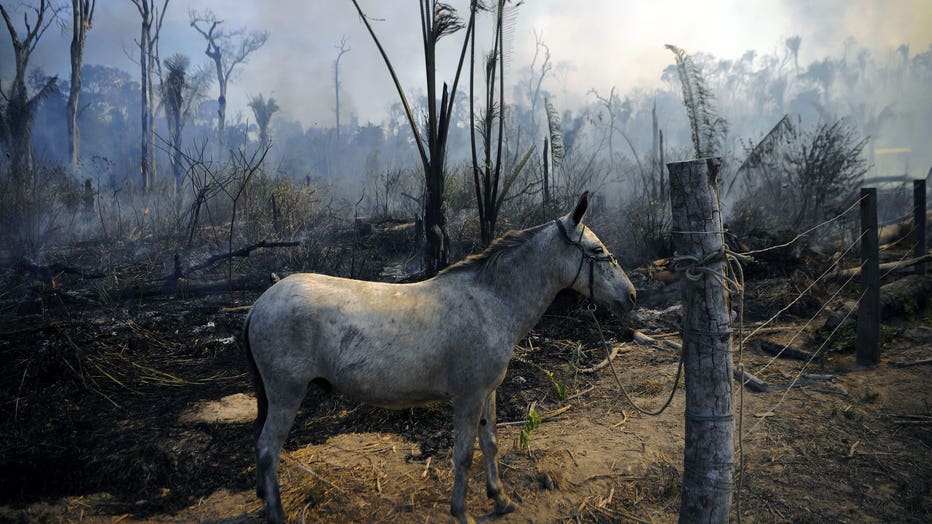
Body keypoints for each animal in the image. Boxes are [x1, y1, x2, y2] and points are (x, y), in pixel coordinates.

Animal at [244, 192, 636, 524]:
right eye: (597, 249)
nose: (631, 295)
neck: (491, 301)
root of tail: (259, 304)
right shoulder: (469, 397)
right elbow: (463, 455)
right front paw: (461, 512)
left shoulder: (488, 393)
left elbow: (490, 444)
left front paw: (500, 499)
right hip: (286, 393)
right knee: (267, 449)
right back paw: (276, 514)